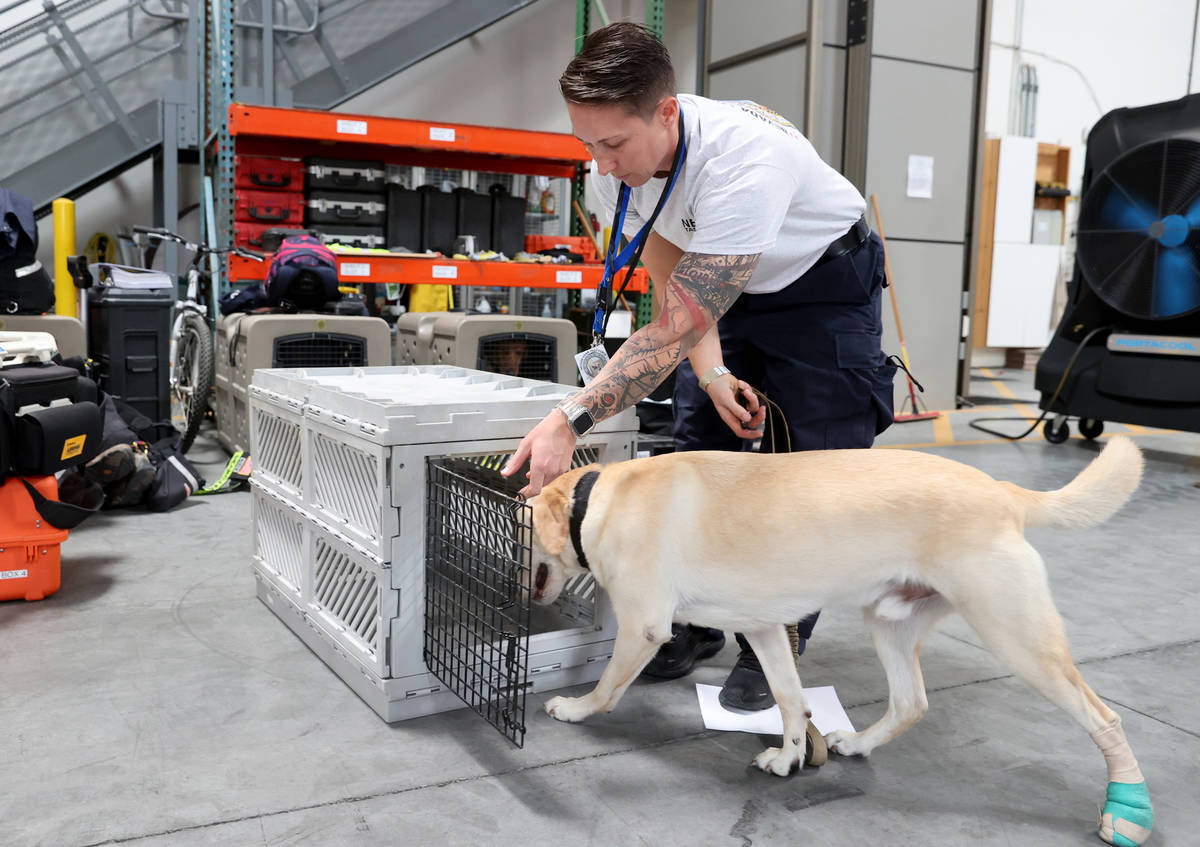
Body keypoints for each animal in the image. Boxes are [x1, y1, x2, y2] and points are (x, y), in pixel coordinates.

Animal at [525, 436, 1152, 844]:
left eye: (519, 534)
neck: (596, 500)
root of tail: (1003, 492)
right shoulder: (763, 628)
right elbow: (789, 698)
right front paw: (790, 755)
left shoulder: (643, 625)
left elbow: (607, 686)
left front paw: (573, 708)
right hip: (890, 621)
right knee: (910, 702)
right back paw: (857, 743)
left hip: (1015, 634)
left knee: (1103, 717)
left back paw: (1127, 807)